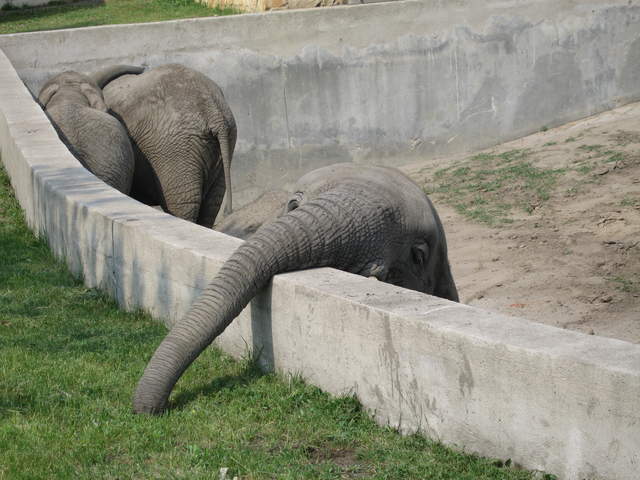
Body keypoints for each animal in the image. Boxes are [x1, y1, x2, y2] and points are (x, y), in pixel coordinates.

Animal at [91, 63, 237, 227]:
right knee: (211, 204)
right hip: (223, 139)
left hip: (175, 148)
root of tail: (213, 110)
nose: (142, 67)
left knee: (183, 205)